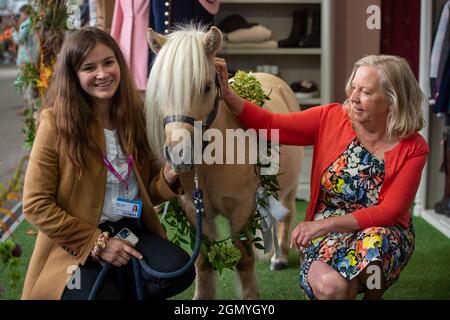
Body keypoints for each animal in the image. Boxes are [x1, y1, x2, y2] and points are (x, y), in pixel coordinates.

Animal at [146, 25, 304, 300]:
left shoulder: (241, 209)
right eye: (161, 92)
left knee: (286, 216)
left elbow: (244, 260)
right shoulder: (196, 211)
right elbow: (203, 261)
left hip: (288, 190)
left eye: (207, 86)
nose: (179, 153)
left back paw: (280, 257)